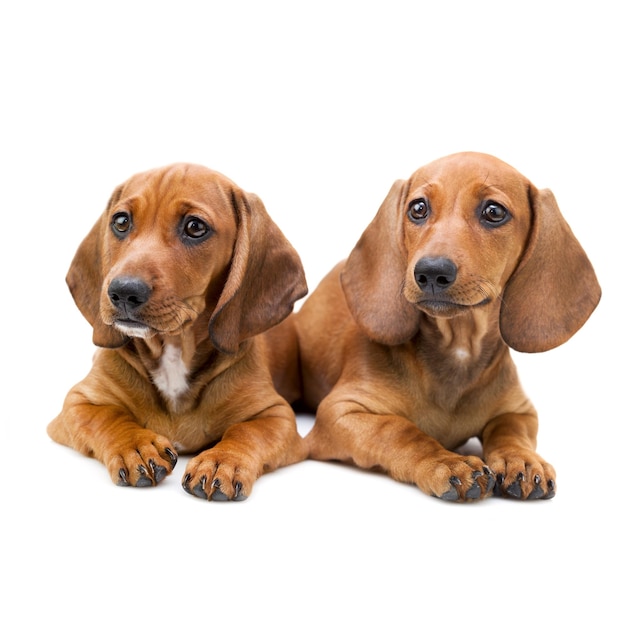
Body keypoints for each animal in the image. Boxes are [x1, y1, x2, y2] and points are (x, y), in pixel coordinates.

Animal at [47, 163, 308, 500]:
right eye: (121, 221)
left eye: (195, 227)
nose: (122, 292)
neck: (172, 350)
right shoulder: (76, 403)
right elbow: (105, 417)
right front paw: (136, 446)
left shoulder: (277, 415)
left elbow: (248, 431)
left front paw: (223, 461)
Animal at [288, 152, 600, 502]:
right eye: (418, 208)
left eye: (494, 211)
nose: (431, 272)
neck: (457, 347)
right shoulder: (340, 412)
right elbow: (397, 430)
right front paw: (444, 462)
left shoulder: (520, 411)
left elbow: (510, 430)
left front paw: (521, 459)